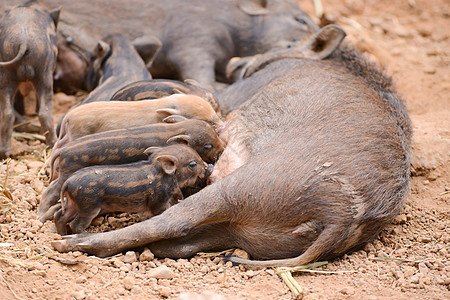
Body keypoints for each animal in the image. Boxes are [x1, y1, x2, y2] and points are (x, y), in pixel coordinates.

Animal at [0, 2, 59, 159]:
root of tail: (24, 41)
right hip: (44, 71)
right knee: (44, 112)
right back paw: (52, 145)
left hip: (6, 74)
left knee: (7, 113)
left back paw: (4, 154)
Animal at [51, 24, 412, 266]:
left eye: (288, 41)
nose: (235, 62)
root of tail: (340, 221)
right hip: (240, 231)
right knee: (177, 243)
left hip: (238, 189)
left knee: (170, 221)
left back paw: (71, 242)